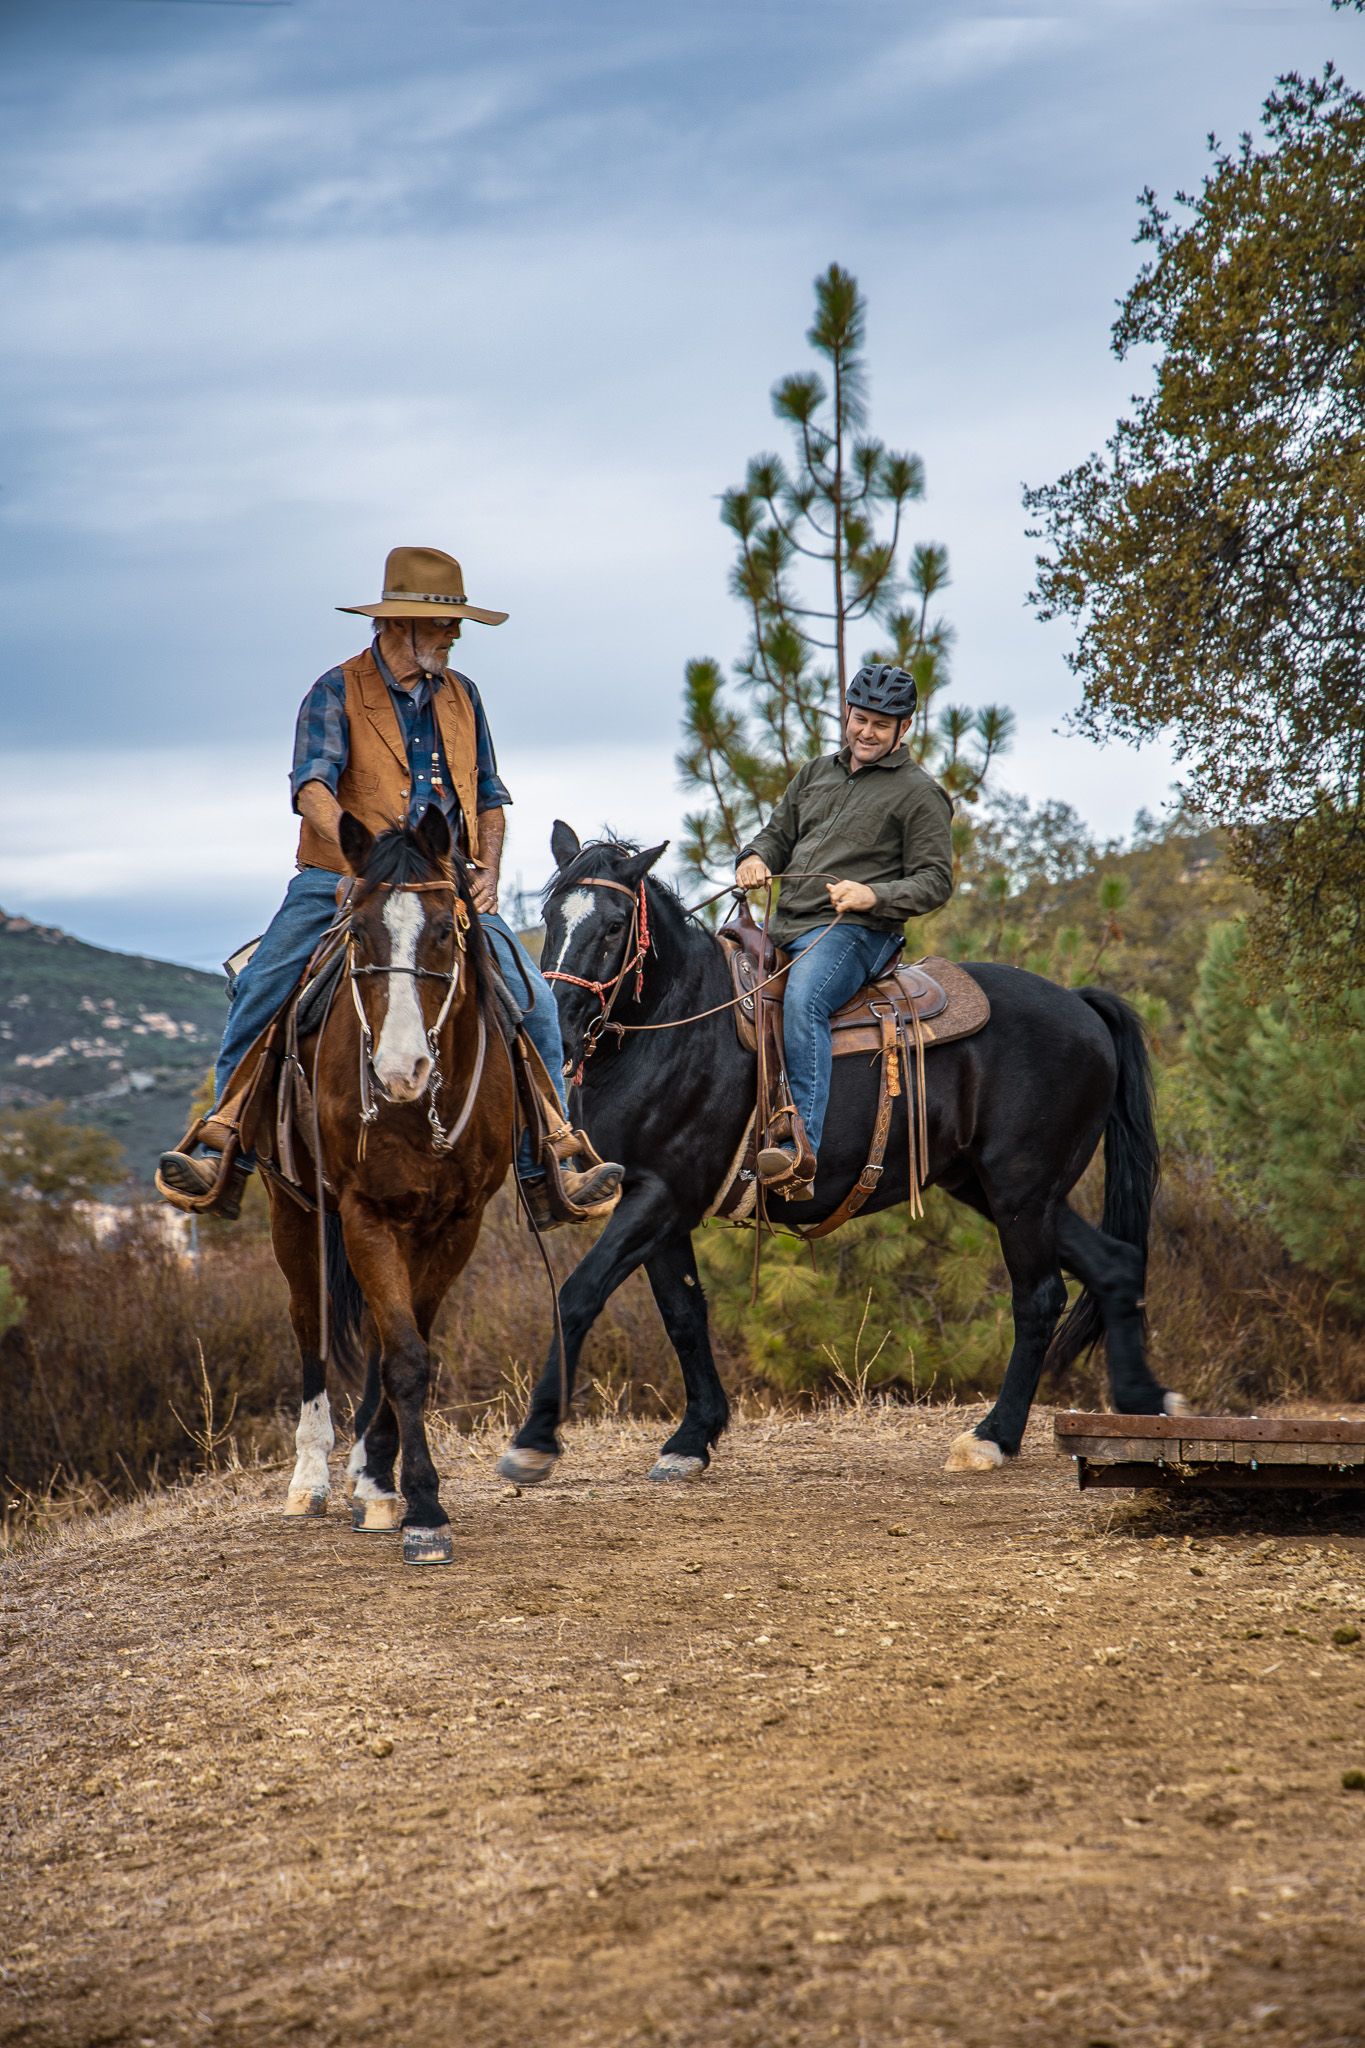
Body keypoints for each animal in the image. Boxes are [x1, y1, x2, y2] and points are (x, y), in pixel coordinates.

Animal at [268, 806, 514, 1564]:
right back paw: (311, 1479)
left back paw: (364, 1477)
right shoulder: (363, 1212)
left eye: (441, 929)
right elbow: (403, 1356)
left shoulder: (457, 1222)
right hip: (295, 1212)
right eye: (359, 933)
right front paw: (424, 1508)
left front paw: (384, 1481)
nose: (399, 1069)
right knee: (309, 1326)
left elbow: (405, 1347)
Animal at [497, 822, 1183, 1487]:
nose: (556, 1027)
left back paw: (994, 1437)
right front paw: (692, 1439)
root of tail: (1081, 1004)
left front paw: (534, 1442)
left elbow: (578, 1295)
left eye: (615, 925)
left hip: (1021, 1191)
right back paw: (1143, 1405)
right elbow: (684, 1315)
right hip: (998, 1189)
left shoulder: (661, 1198)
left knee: (1039, 1298)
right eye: (550, 915)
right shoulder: (659, 1204)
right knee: (1115, 1264)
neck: (681, 1023)